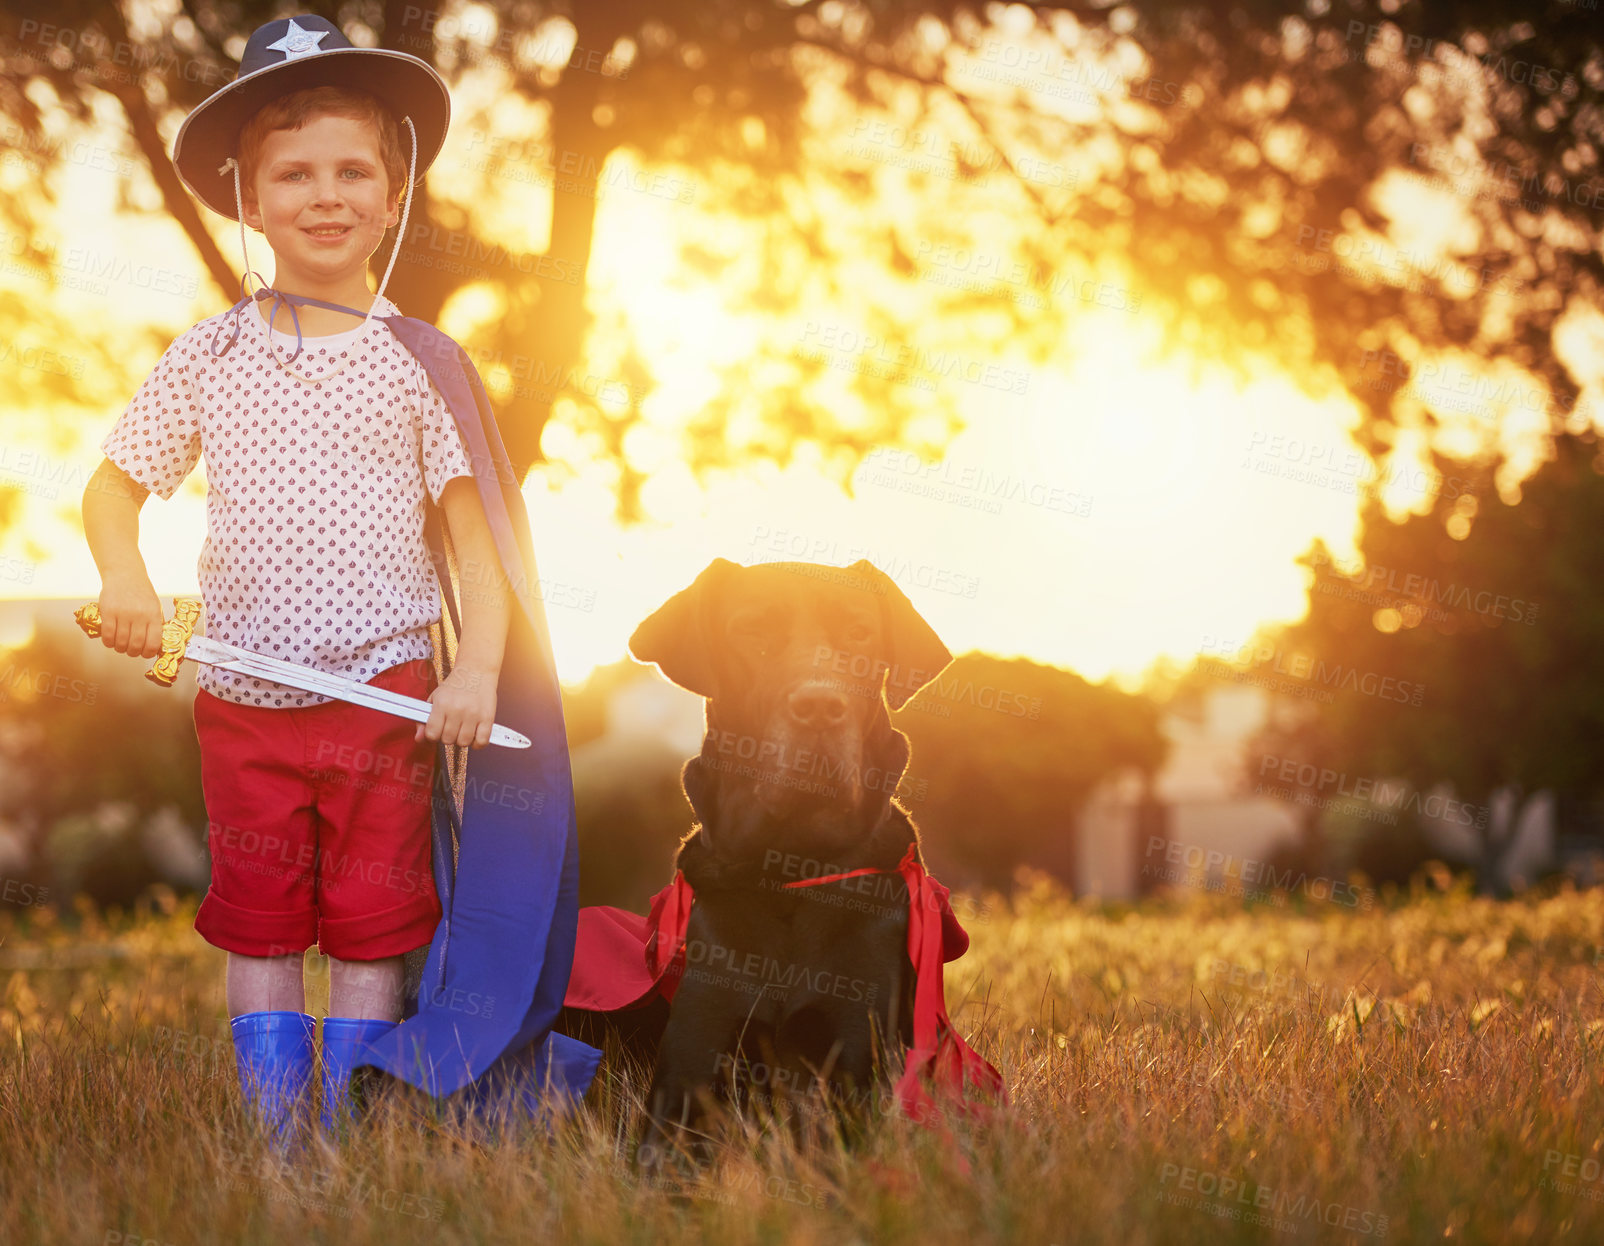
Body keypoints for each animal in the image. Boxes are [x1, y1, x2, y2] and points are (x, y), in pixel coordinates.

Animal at [622, 558, 949, 1154]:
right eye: (753, 632)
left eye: (858, 634)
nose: (820, 706)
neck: (788, 866)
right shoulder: (691, 1062)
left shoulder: (855, 1052)